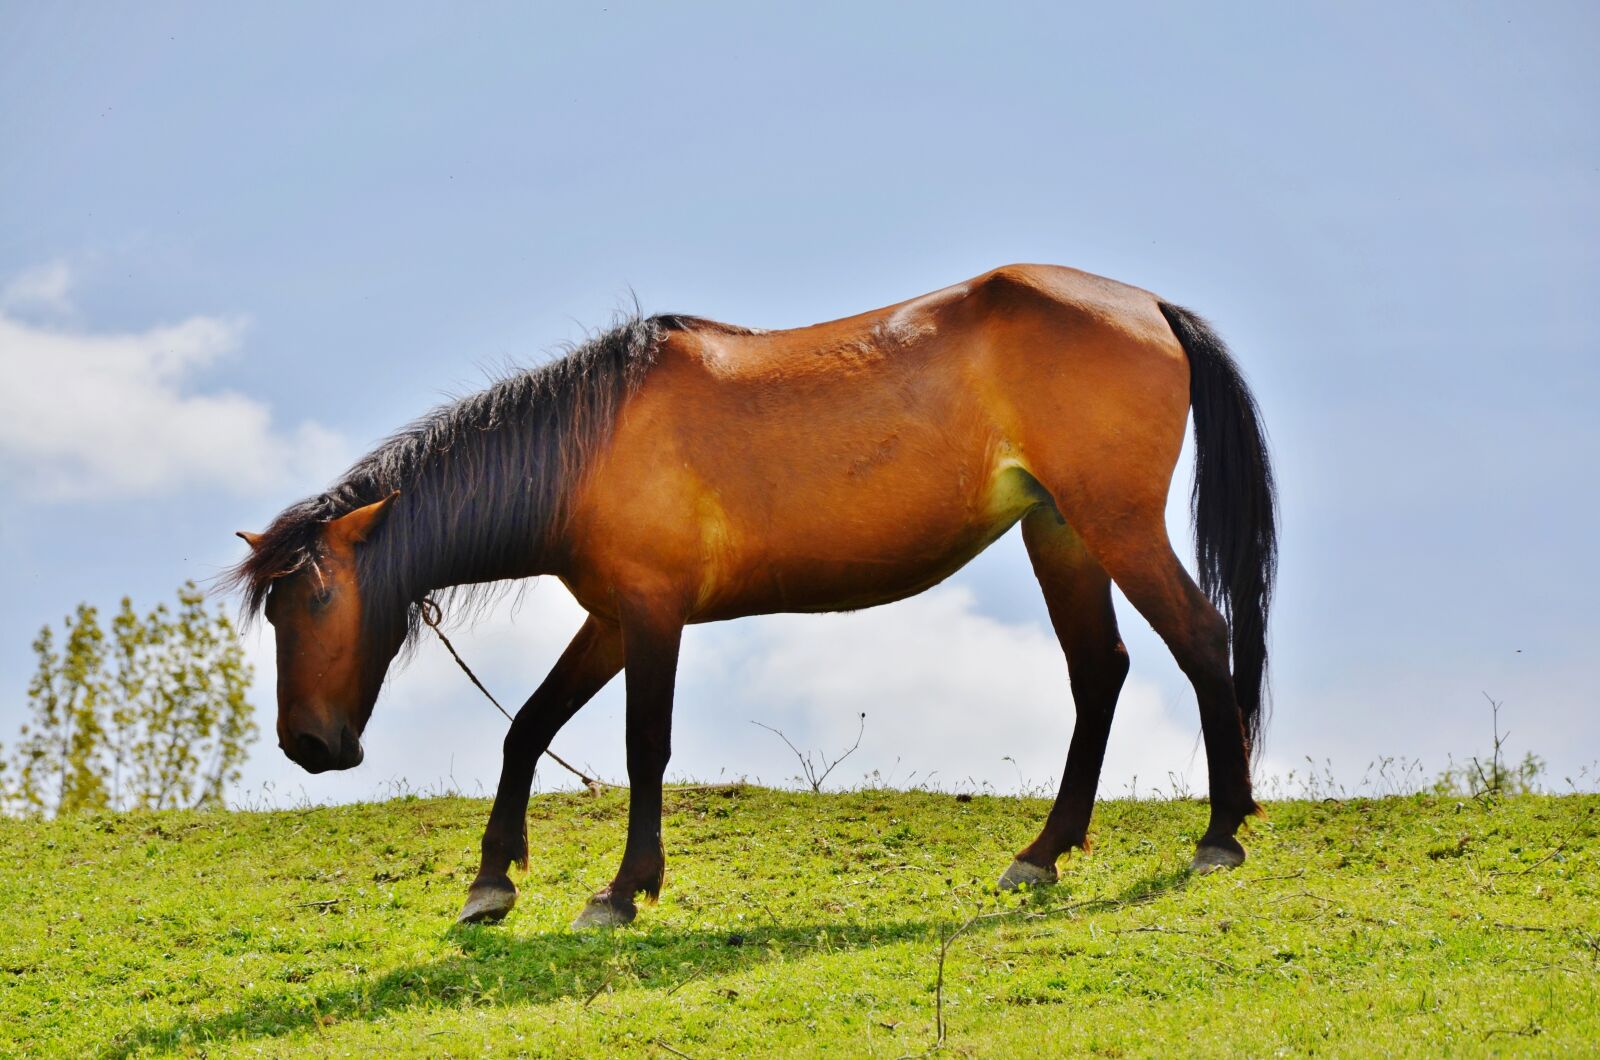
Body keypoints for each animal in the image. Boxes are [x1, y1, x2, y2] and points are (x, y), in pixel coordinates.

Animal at [228, 264, 1277, 928]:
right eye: (273, 611)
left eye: (313, 601)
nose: (308, 745)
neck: (590, 446)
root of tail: (1148, 304)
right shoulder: (610, 618)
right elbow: (527, 728)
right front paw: (492, 883)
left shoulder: (652, 616)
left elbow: (643, 748)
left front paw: (621, 891)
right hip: (1059, 532)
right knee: (1100, 673)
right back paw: (1043, 853)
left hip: (1116, 525)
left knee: (1200, 638)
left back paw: (1221, 834)